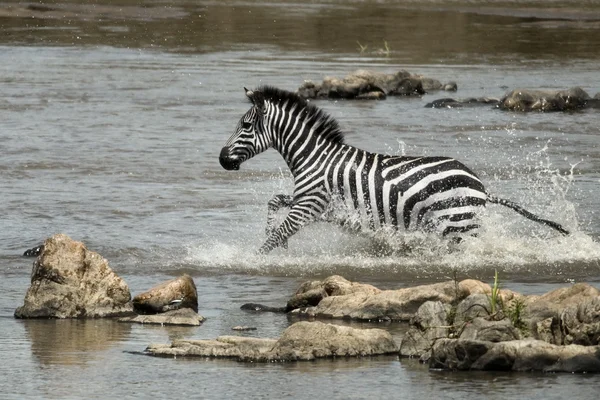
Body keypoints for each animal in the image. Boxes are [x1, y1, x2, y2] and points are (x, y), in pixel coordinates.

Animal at [218, 86, 568, 255]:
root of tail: (481, 186)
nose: (222, 159)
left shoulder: (310, 205)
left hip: (458, 224)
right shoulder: (317, 205)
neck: (314, 157)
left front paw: (254, 259)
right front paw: (276, 242)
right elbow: (274, 204)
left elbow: (276, 234)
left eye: (245, 126)